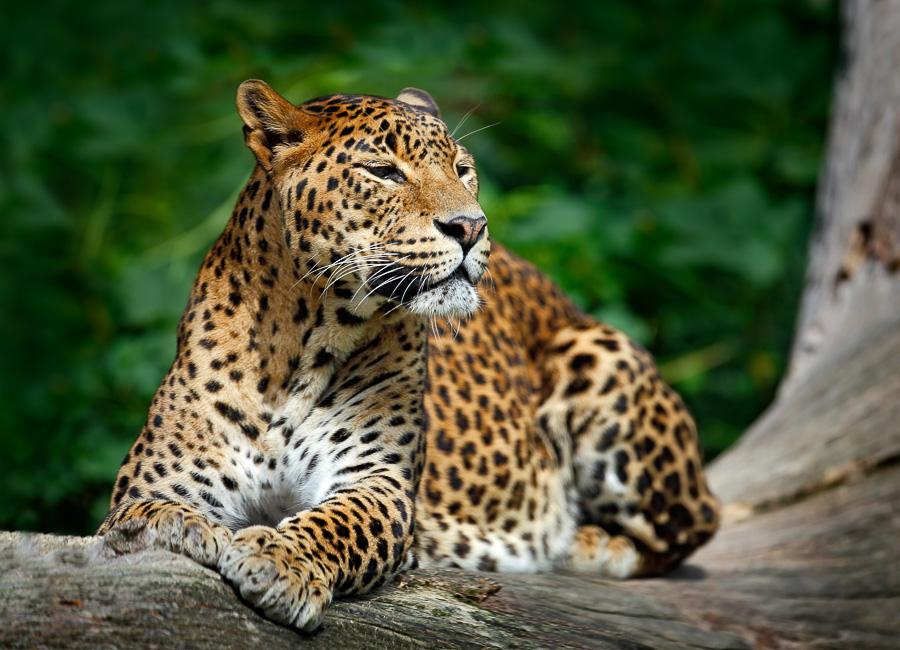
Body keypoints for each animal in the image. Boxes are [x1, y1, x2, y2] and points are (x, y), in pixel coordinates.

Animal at [98, 79, 719, 631]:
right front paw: (184, 530)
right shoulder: (156, 482)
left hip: (600, 354)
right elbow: (143, 516)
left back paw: (582, 541)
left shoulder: (379, 482)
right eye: (383, 171)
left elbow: (335, 524)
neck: (302, 342)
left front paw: (278, 560)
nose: (471, 226)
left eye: (462, 169)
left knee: (694, 525)